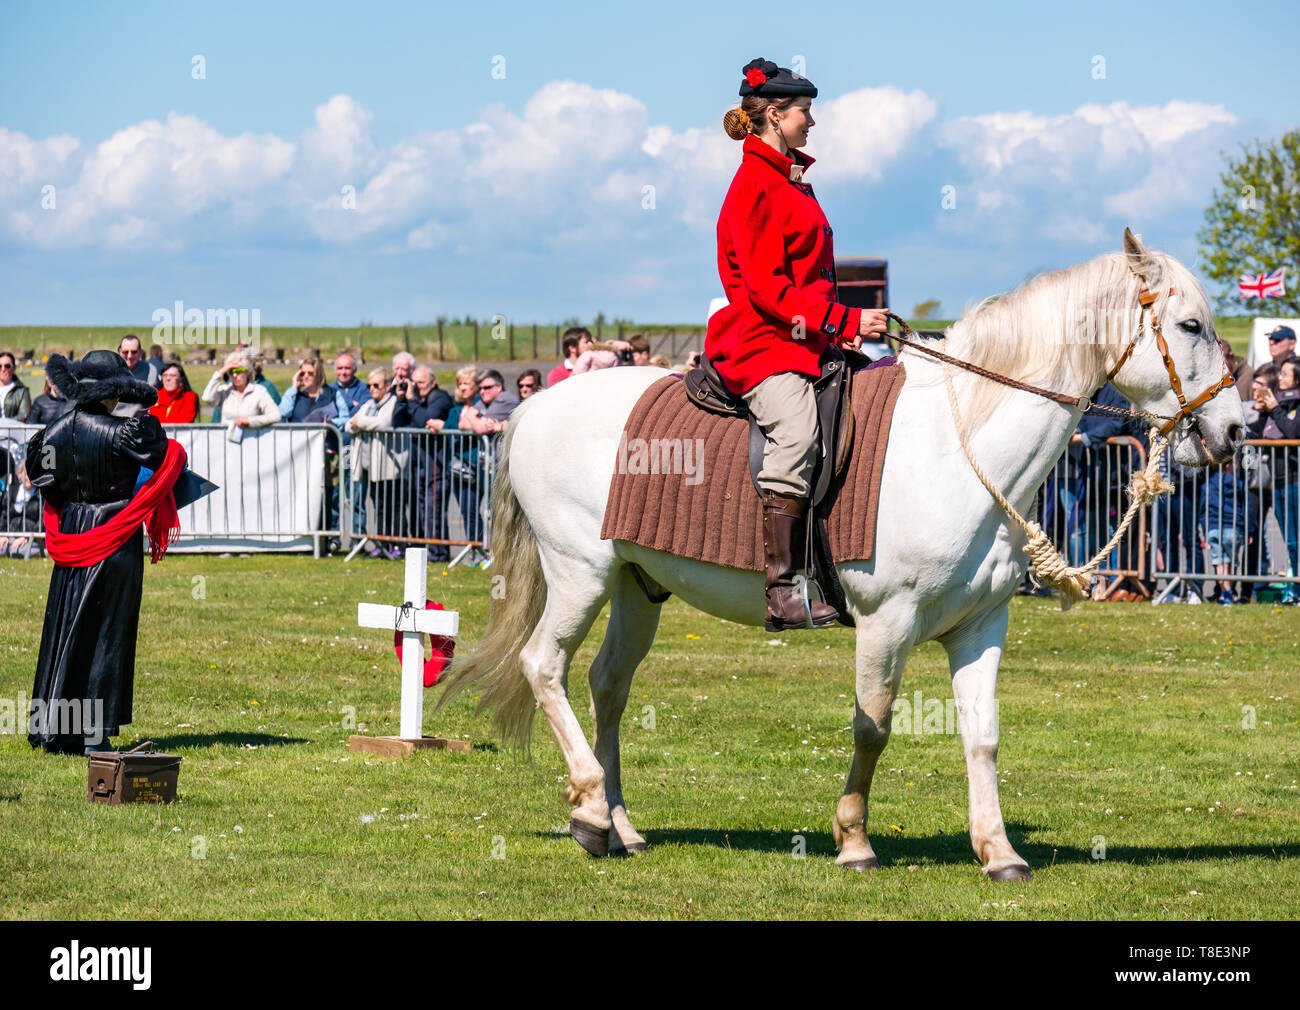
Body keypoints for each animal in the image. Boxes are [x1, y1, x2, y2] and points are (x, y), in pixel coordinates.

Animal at [441, 232, 1242, 878]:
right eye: (1191, 325)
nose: (1234, 431)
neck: (961, 448)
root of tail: (535, 405)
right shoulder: (888, 621)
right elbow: (873, 726)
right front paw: (854, 842)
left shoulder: (981, 627)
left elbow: (982, 736)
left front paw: (999, 852)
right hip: (581, 574)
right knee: (544, 666)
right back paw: (585, 809)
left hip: (638, 584)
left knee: (608, 686)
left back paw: (620, 826)